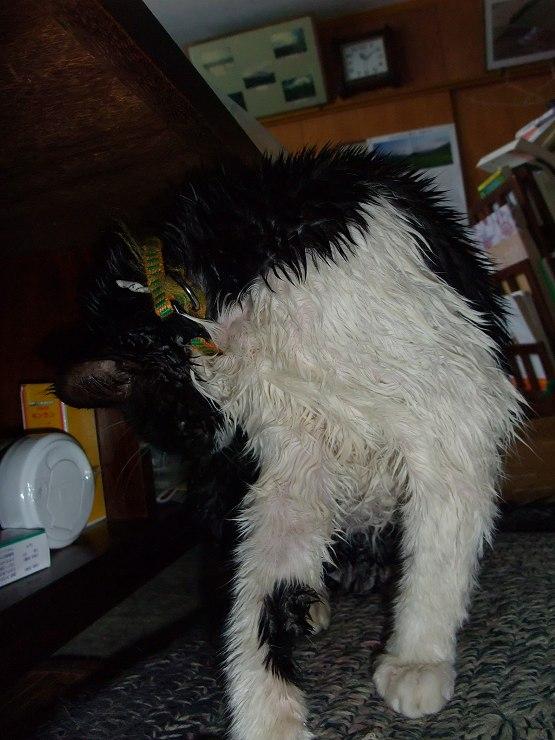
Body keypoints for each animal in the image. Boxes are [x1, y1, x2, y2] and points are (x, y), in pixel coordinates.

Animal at [56, 146, 522, 739]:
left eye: (179, 429)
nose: (209, 456)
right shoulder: (293, 463)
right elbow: (260, 593)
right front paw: (266, 716)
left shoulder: (451, 415)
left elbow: (438, 552)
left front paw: (417, 658)